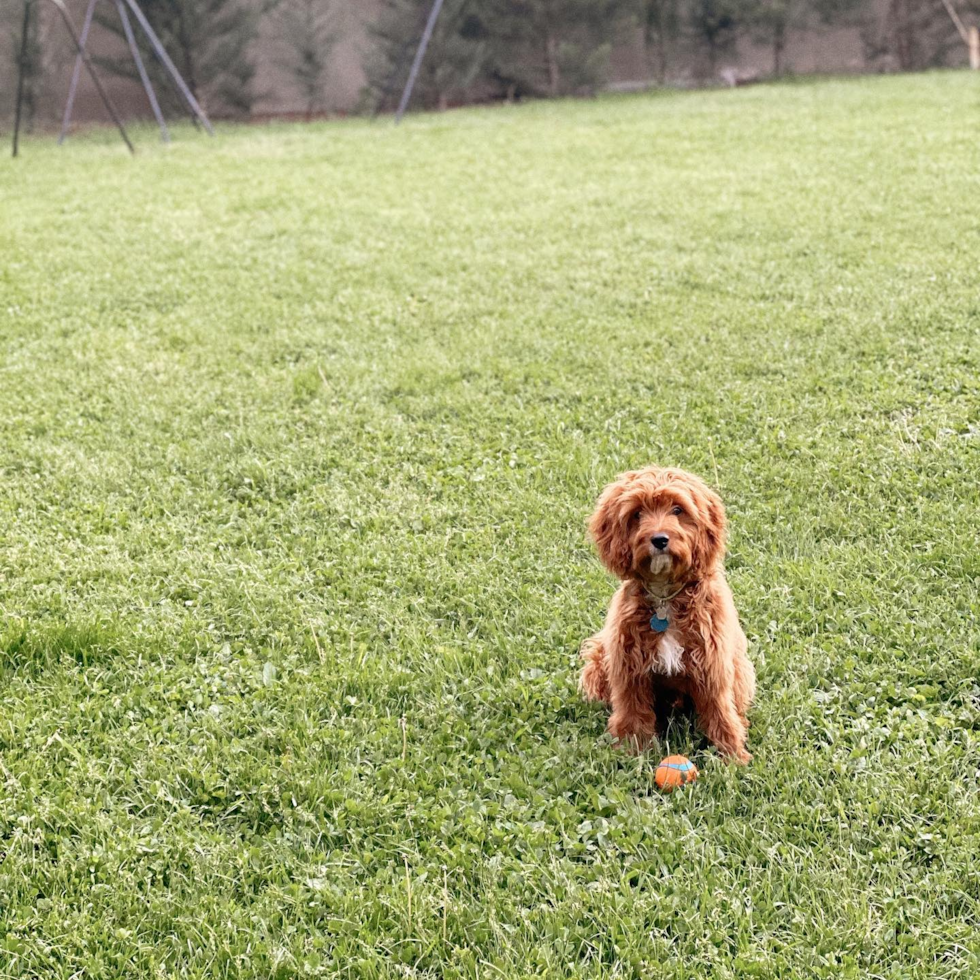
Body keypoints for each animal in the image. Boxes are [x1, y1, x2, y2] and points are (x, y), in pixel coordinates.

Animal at [580, 468, 756, 764]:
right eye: (637, 513)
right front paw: (631, 752)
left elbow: (720, 712)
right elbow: (632, 713)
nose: (660, 539)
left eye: (677, 509)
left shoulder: (713, 665)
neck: (665, 599)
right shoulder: (629, 668)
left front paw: (733, 756)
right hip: (599, 658)